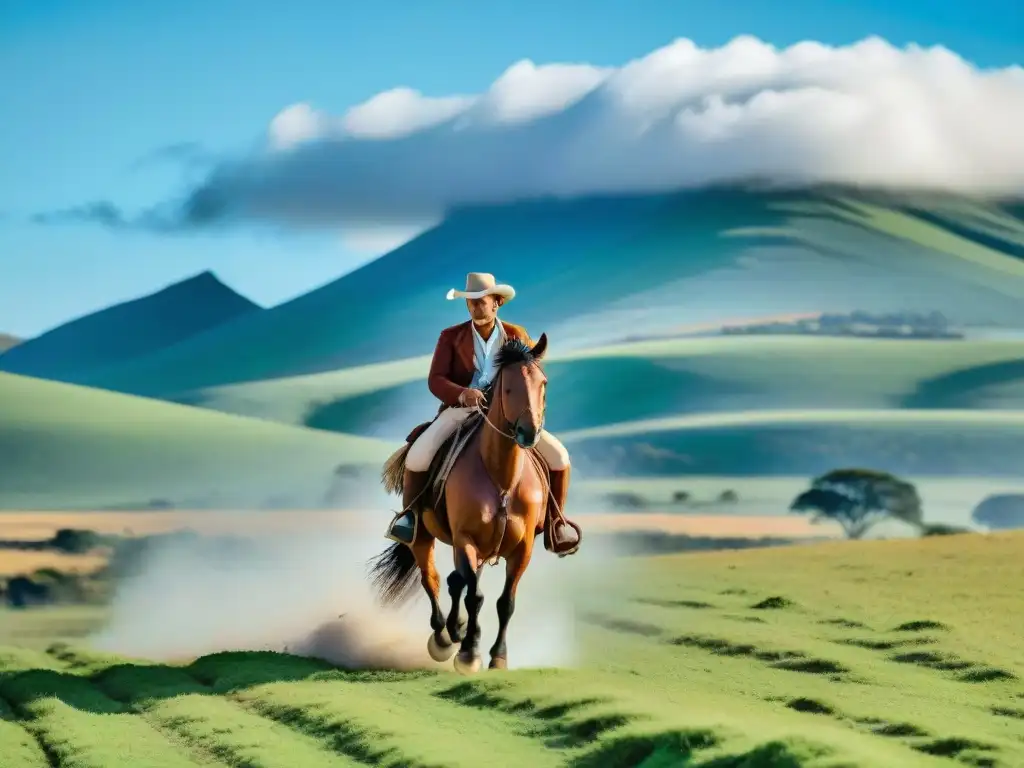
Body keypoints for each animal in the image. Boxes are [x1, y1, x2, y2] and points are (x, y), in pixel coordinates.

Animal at [368, 333, 552, 675]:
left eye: (542, 383)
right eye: (508, 388)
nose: (529, 433)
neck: (501, 476)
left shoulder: (521, 550)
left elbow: (505, 602)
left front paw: (498, 657)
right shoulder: (465, 539)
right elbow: (475, 596)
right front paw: (469, 653)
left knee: (457, 582)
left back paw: (458, 629)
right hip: (424, 537)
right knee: (434, 580)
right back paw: (444, 638)